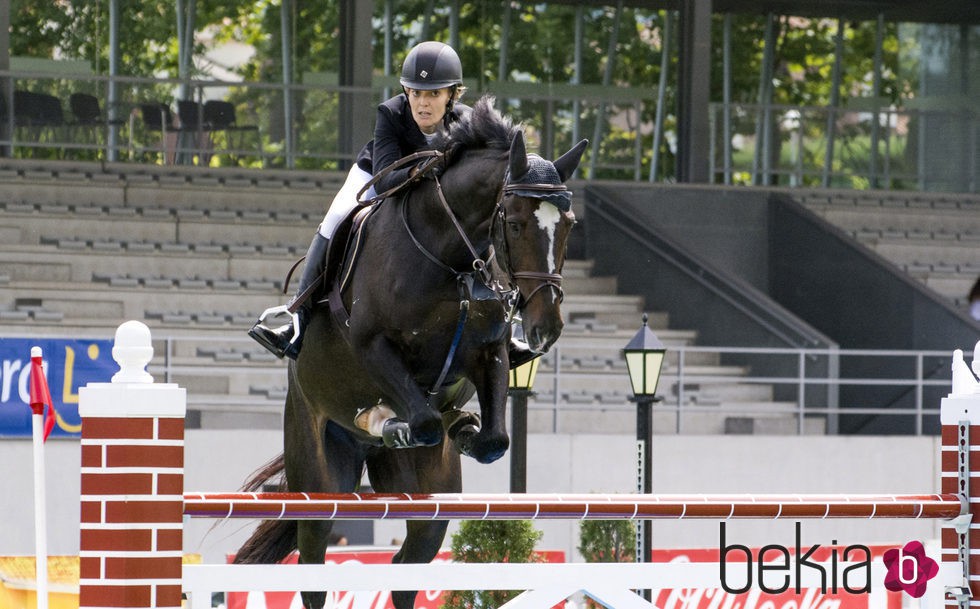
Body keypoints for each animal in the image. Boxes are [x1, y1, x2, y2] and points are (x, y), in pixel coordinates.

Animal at [235, 97, 588, 604]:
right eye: (517, 224)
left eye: (569, 226)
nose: (546, 329)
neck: (449, 258)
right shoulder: (372, 346)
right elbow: (420, 419)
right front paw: (392, 421)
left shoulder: (490, 353)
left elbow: (495, 439)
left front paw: (465, 428)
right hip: (320, 476)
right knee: (314, 565)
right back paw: (375, 419)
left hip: (426, 499)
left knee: (407, 564)